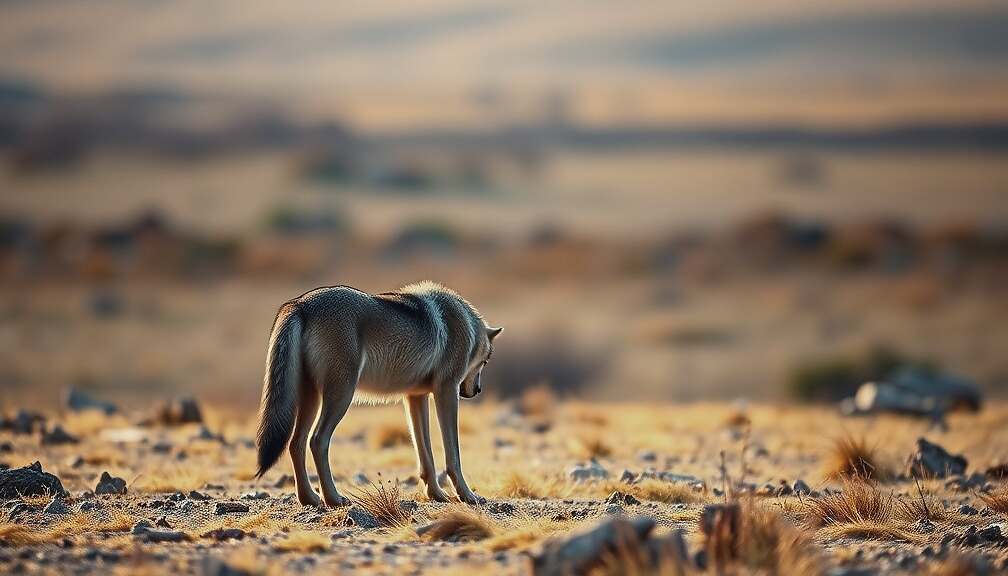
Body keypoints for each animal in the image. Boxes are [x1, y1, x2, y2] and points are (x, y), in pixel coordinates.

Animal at [254, 281, 501, 507]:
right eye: (485, 362)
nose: (477, 390)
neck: (465, 324)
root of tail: (300, 304)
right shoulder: (447, 391)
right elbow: (454, 457)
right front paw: (467, 496)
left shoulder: (415, 397)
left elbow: (426, 456)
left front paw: (436, 495)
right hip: (341, 395)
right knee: (317, 440)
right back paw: (333, 498)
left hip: (312, 398)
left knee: (296, 443)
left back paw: (309, 498)